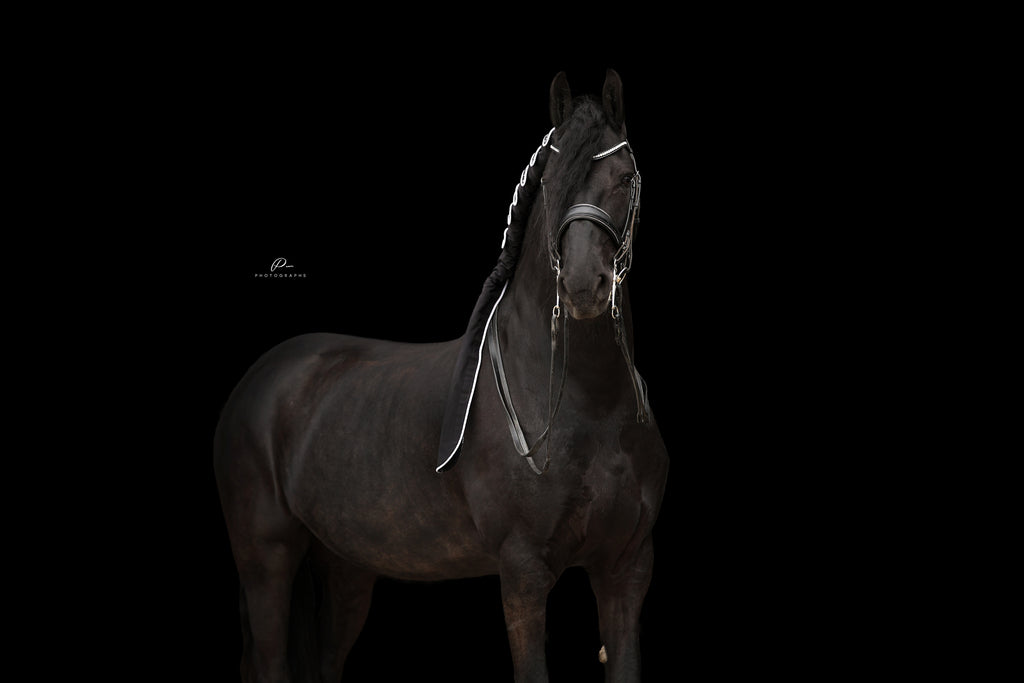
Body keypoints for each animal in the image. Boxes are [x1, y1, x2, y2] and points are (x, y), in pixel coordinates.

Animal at [214, 69, 669, 683]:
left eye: (624, 178)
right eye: (552, 182)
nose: (581, 285)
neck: (588, 405)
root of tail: (258, 380)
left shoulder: (626, 568)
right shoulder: (523, 571)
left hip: (345, 567)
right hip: (267, 559)